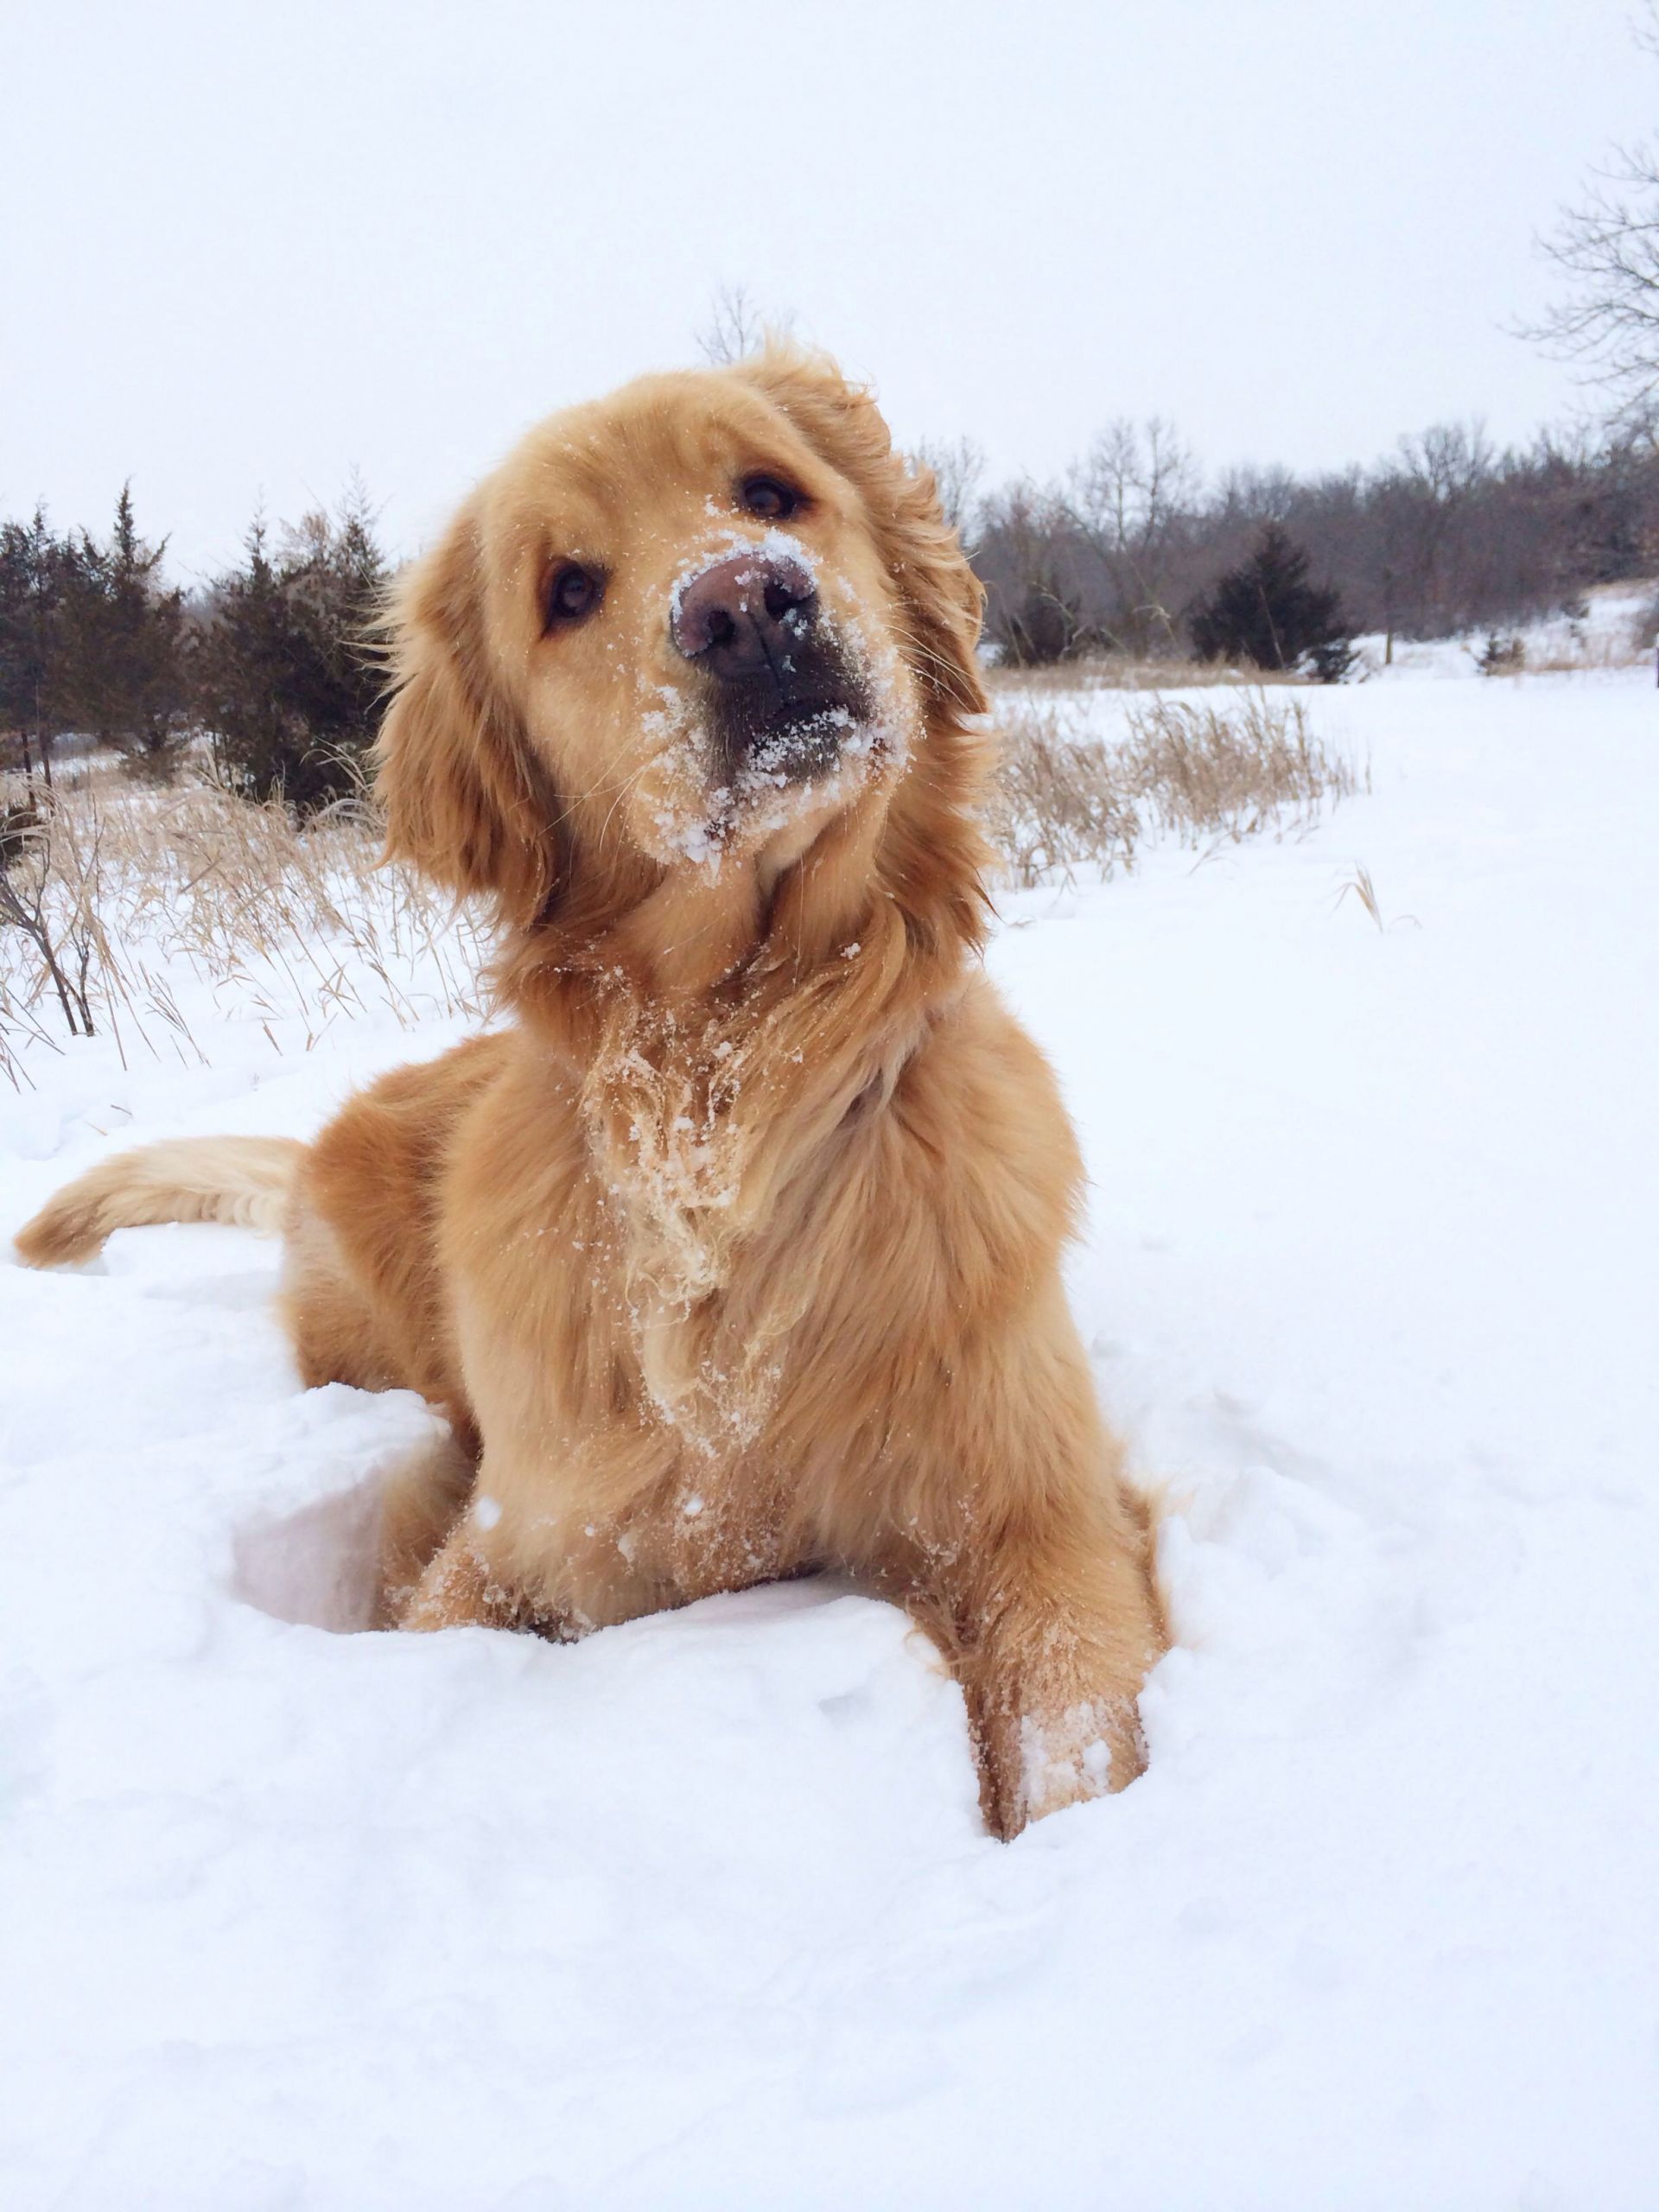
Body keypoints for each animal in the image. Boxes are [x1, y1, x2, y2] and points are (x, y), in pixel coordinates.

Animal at [22, 345, 1167, 1831]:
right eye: (567, 589)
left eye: (769, 493)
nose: (747, 606)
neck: (736, 1081)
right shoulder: (531, 1537)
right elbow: (441, 1616)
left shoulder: (1040, 1517)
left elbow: (1075, 1746)